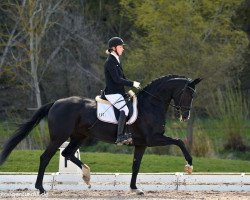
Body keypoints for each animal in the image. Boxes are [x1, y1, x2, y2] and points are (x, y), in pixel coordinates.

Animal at [0, 74, 201, 194]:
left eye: (193, 96)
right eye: (187, 94)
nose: (185, 116)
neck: (151, 105)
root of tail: (56, 102)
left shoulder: (142, 144)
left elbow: (136, 166)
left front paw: (134, 188)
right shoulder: (153, 139)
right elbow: (179, 141)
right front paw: (189, 165)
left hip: (79, 136)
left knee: (67, 153)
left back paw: (87, 176)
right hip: (59, 137)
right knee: (46, 157)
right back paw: (41, 188)